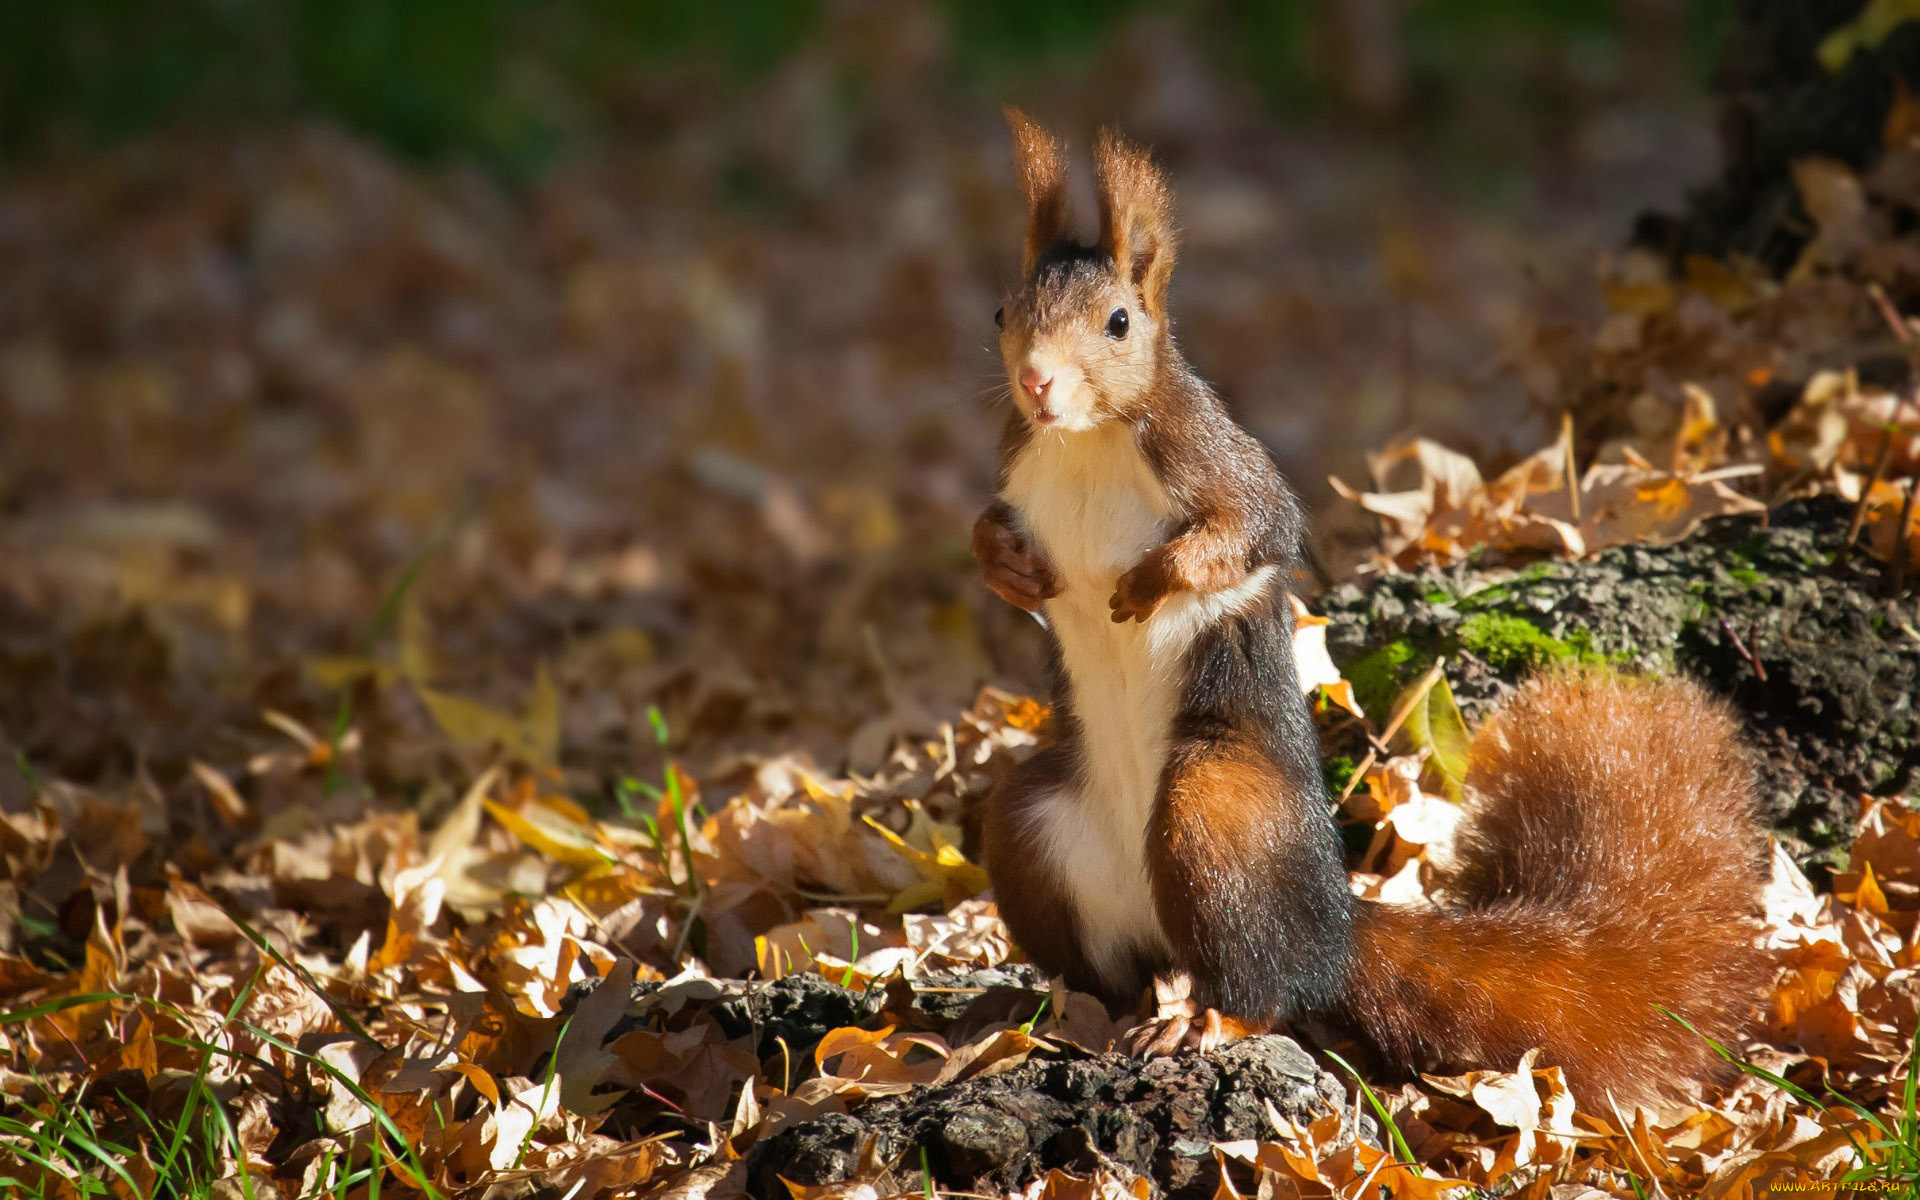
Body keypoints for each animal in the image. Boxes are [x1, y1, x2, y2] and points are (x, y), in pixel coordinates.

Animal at [975, 109, 1766, 1105]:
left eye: (1119, 323)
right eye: (1002, 313)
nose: (1037, 385)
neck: (1080, 444)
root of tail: (1335, 926)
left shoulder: (1215, 460)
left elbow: (1253, 531)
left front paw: (1151, 584)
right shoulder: (1019, 465)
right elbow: (985, 528)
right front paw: (1009, 569)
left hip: (1212, 816)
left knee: (1261, 983)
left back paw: (1202, 1019)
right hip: (1032, 828)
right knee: (1115, 970)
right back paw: (1051, 1009)